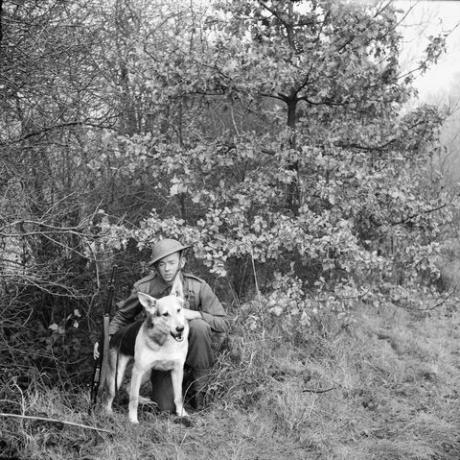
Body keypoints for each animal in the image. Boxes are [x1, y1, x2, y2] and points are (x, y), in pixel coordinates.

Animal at [102, 278, 189, 422]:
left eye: (179, 310)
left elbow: (178, 397)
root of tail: (116, 334)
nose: (180, 329)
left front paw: (182, 413)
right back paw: (108, 413)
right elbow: (133, 399)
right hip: (119, 374)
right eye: (165, 314)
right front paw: (132, 420)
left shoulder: (177, 370)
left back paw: (145, 401)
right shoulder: (138, 371)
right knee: (110, 394)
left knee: (128, 387)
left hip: (147, 372)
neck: (166, 342)